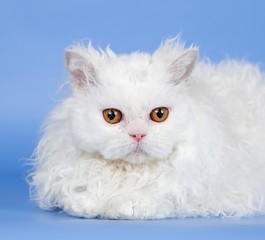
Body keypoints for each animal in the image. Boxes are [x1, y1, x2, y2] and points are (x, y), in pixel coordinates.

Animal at [28, 38, 264, 219]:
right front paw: (89, 203)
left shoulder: (198, 190)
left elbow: (153, 197)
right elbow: (81, 194)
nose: (138, 134)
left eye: (159, 114)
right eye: (111, 116)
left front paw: (123, 205)